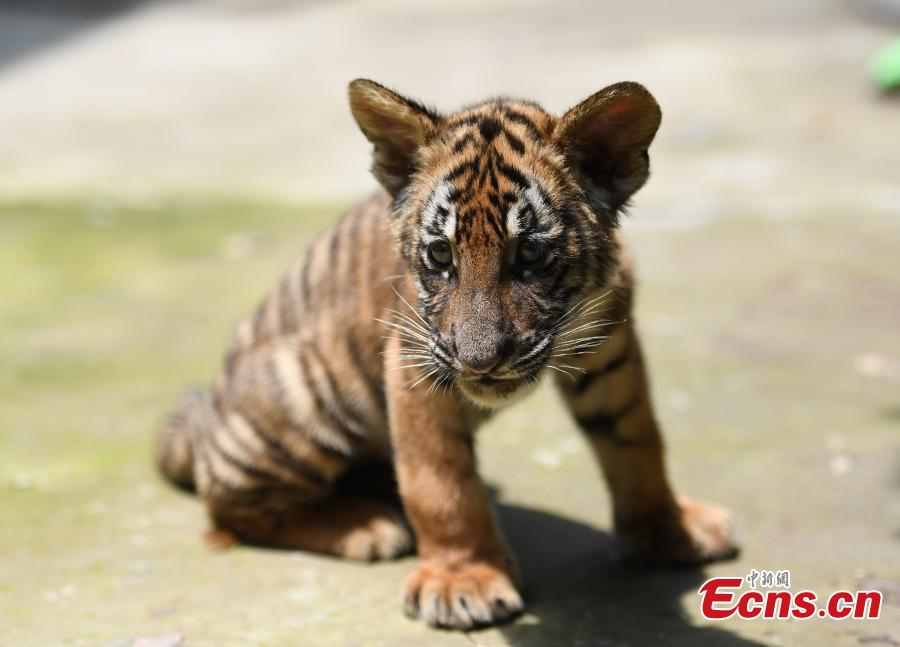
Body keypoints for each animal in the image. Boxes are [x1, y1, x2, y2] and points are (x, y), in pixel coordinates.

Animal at [156, 79, 739, 630]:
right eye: (441, 255)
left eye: (531, 255)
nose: (480, 362)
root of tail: (204, 417)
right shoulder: (414, 362)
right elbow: (439, 481)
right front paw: (462, 581)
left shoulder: (610, 344)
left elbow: (637, 439)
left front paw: (669, 529)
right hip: (300, 395)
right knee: (227, 510)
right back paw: (367, 527)